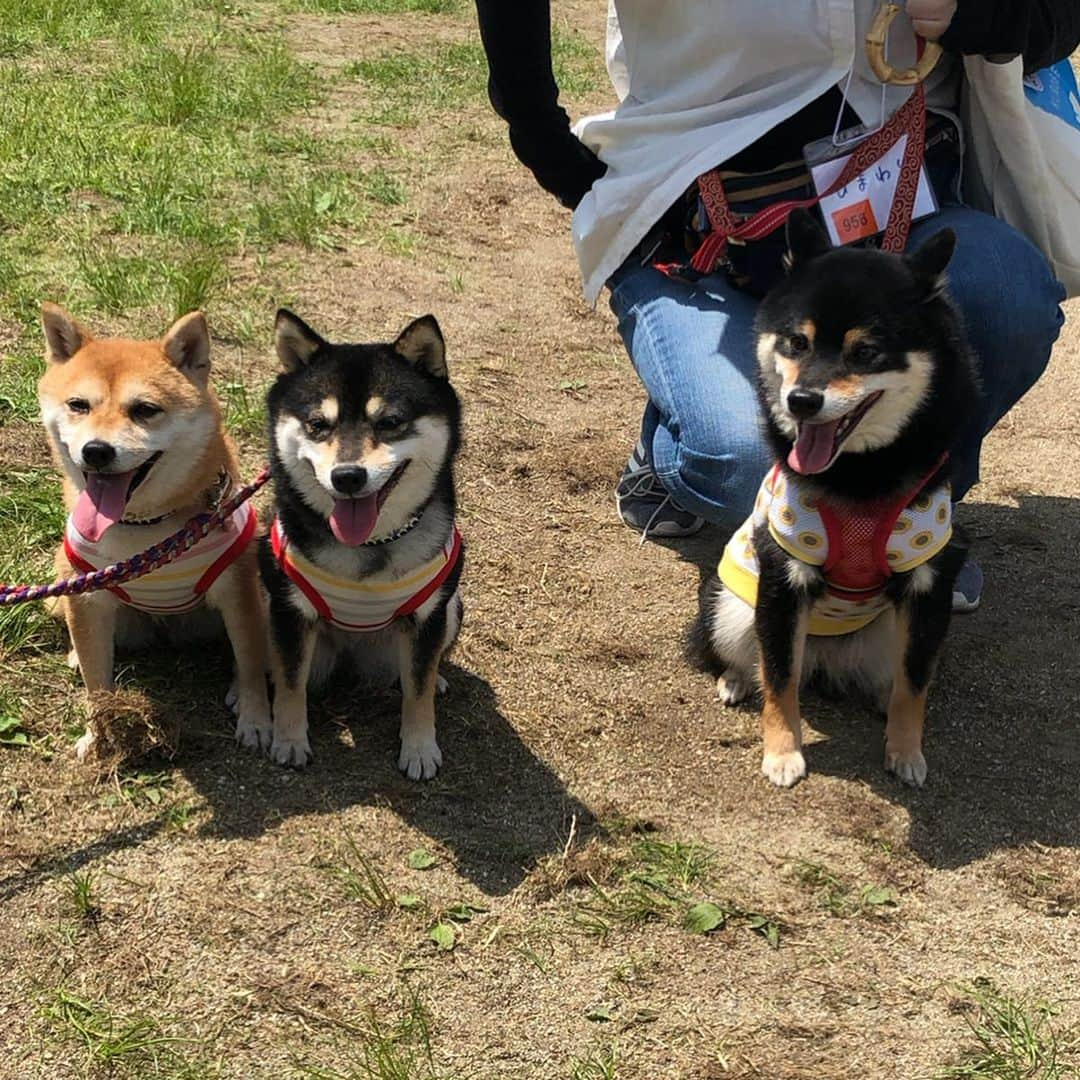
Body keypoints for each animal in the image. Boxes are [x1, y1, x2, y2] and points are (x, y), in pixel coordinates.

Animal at [263, 311, 466, 777]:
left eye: (390, 422)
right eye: (317, 425)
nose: (347, 476)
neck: (369, 546)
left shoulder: (429, 614)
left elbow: (418, 690)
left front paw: (419, 748)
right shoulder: (289, 610)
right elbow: (289, 683)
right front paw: (289, 740)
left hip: (452, 609)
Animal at [691, 206, 980, 790]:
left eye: (866, 352)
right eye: (795, 343)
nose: (800, 400)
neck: (859, 476)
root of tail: (824, 657)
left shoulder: (928, 577)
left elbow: (915, 683)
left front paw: (906, 750)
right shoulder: (783, 574)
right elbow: (779, 678)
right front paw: (782, 753)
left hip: (887, 627)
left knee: (892, 673)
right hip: (731, 605)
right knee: (760, 660)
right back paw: (737, 679)